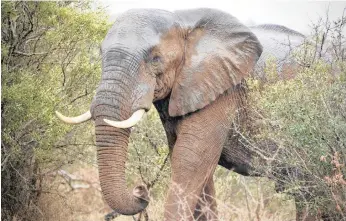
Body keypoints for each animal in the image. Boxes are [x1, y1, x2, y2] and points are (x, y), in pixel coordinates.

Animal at [55, 7, 320, 220]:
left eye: (155, 58)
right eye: (101, 54)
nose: (141, 190)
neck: (181, 19)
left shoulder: (222, 89)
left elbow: (190, 161)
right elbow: (195, 168)